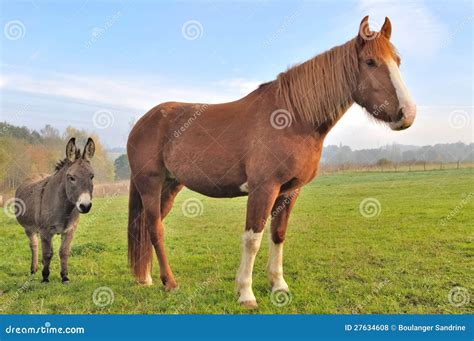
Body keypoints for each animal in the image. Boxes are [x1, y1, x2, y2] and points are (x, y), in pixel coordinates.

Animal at [126, 15, 414, 306]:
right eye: (370, 62)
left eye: (398, 61)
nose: (407, 114)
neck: (294, 118)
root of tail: (143, 122)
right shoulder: (263, 189)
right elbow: (253, 239)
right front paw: (245, 293)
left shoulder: (289, 190)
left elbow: (278, 235)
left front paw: (278, 285)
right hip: (150, 185)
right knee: (155, 228)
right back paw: (170, 283)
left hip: (171, 185)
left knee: (150, 227)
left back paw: (148, 277)